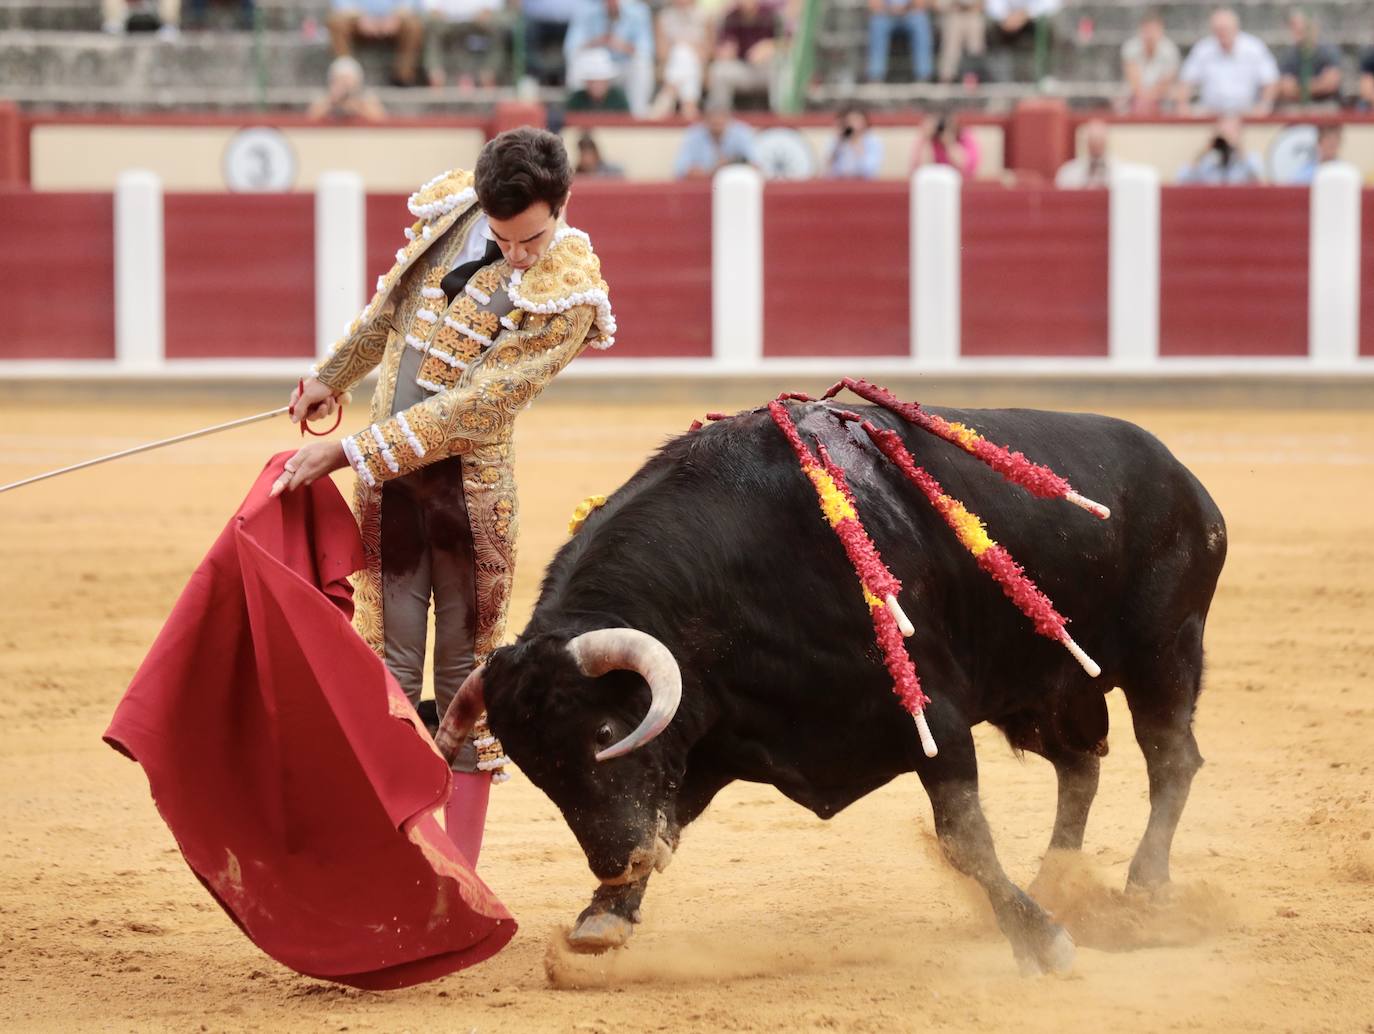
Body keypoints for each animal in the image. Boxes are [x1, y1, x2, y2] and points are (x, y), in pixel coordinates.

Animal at [436, 398, 1225, 972]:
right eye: (538, 771)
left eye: (603, 733)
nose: (614, 858)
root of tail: (1186, 482)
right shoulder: (707, 738)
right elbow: (671, 819)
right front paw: (604, 915)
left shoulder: (934, 716)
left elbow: (963, 838)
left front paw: (1043, 941)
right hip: (1044, 688)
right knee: (1080, 767)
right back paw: (1060, 879)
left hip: (1164, 652)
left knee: (1171, 759)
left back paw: (1143, 887)